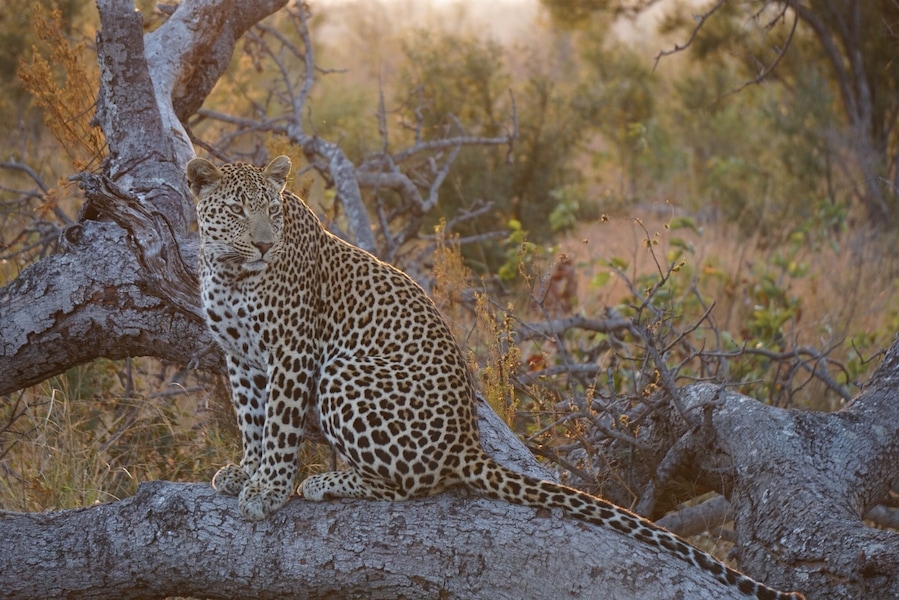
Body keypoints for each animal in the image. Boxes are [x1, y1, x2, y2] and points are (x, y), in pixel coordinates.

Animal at [186, 155, 805, 600]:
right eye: (238, 210)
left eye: (272, 209)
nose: (264, 242)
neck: (230, 271)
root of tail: (467, 441)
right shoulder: (240, 357)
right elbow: (249, 418)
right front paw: (244, 472)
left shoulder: (293, 350)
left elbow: (280, 427)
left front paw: (268, 488)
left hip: (344, 374)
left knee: (415, 484)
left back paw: (328, 482)